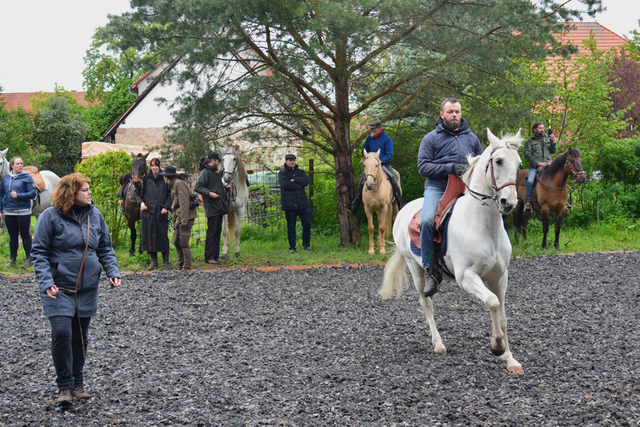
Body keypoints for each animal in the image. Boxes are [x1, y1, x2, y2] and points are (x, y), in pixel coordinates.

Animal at [380, 130, 524, 374]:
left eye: (519, 163)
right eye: (498, 161)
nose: (508, 202)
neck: (483, 226)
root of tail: (404, 210)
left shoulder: (500, 277)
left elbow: (502, 315)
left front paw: (510, 359)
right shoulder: (466, 277)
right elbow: (492, 302)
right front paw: (496, 346)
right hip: (415, 268)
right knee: (425, 302)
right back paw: (438, 344)